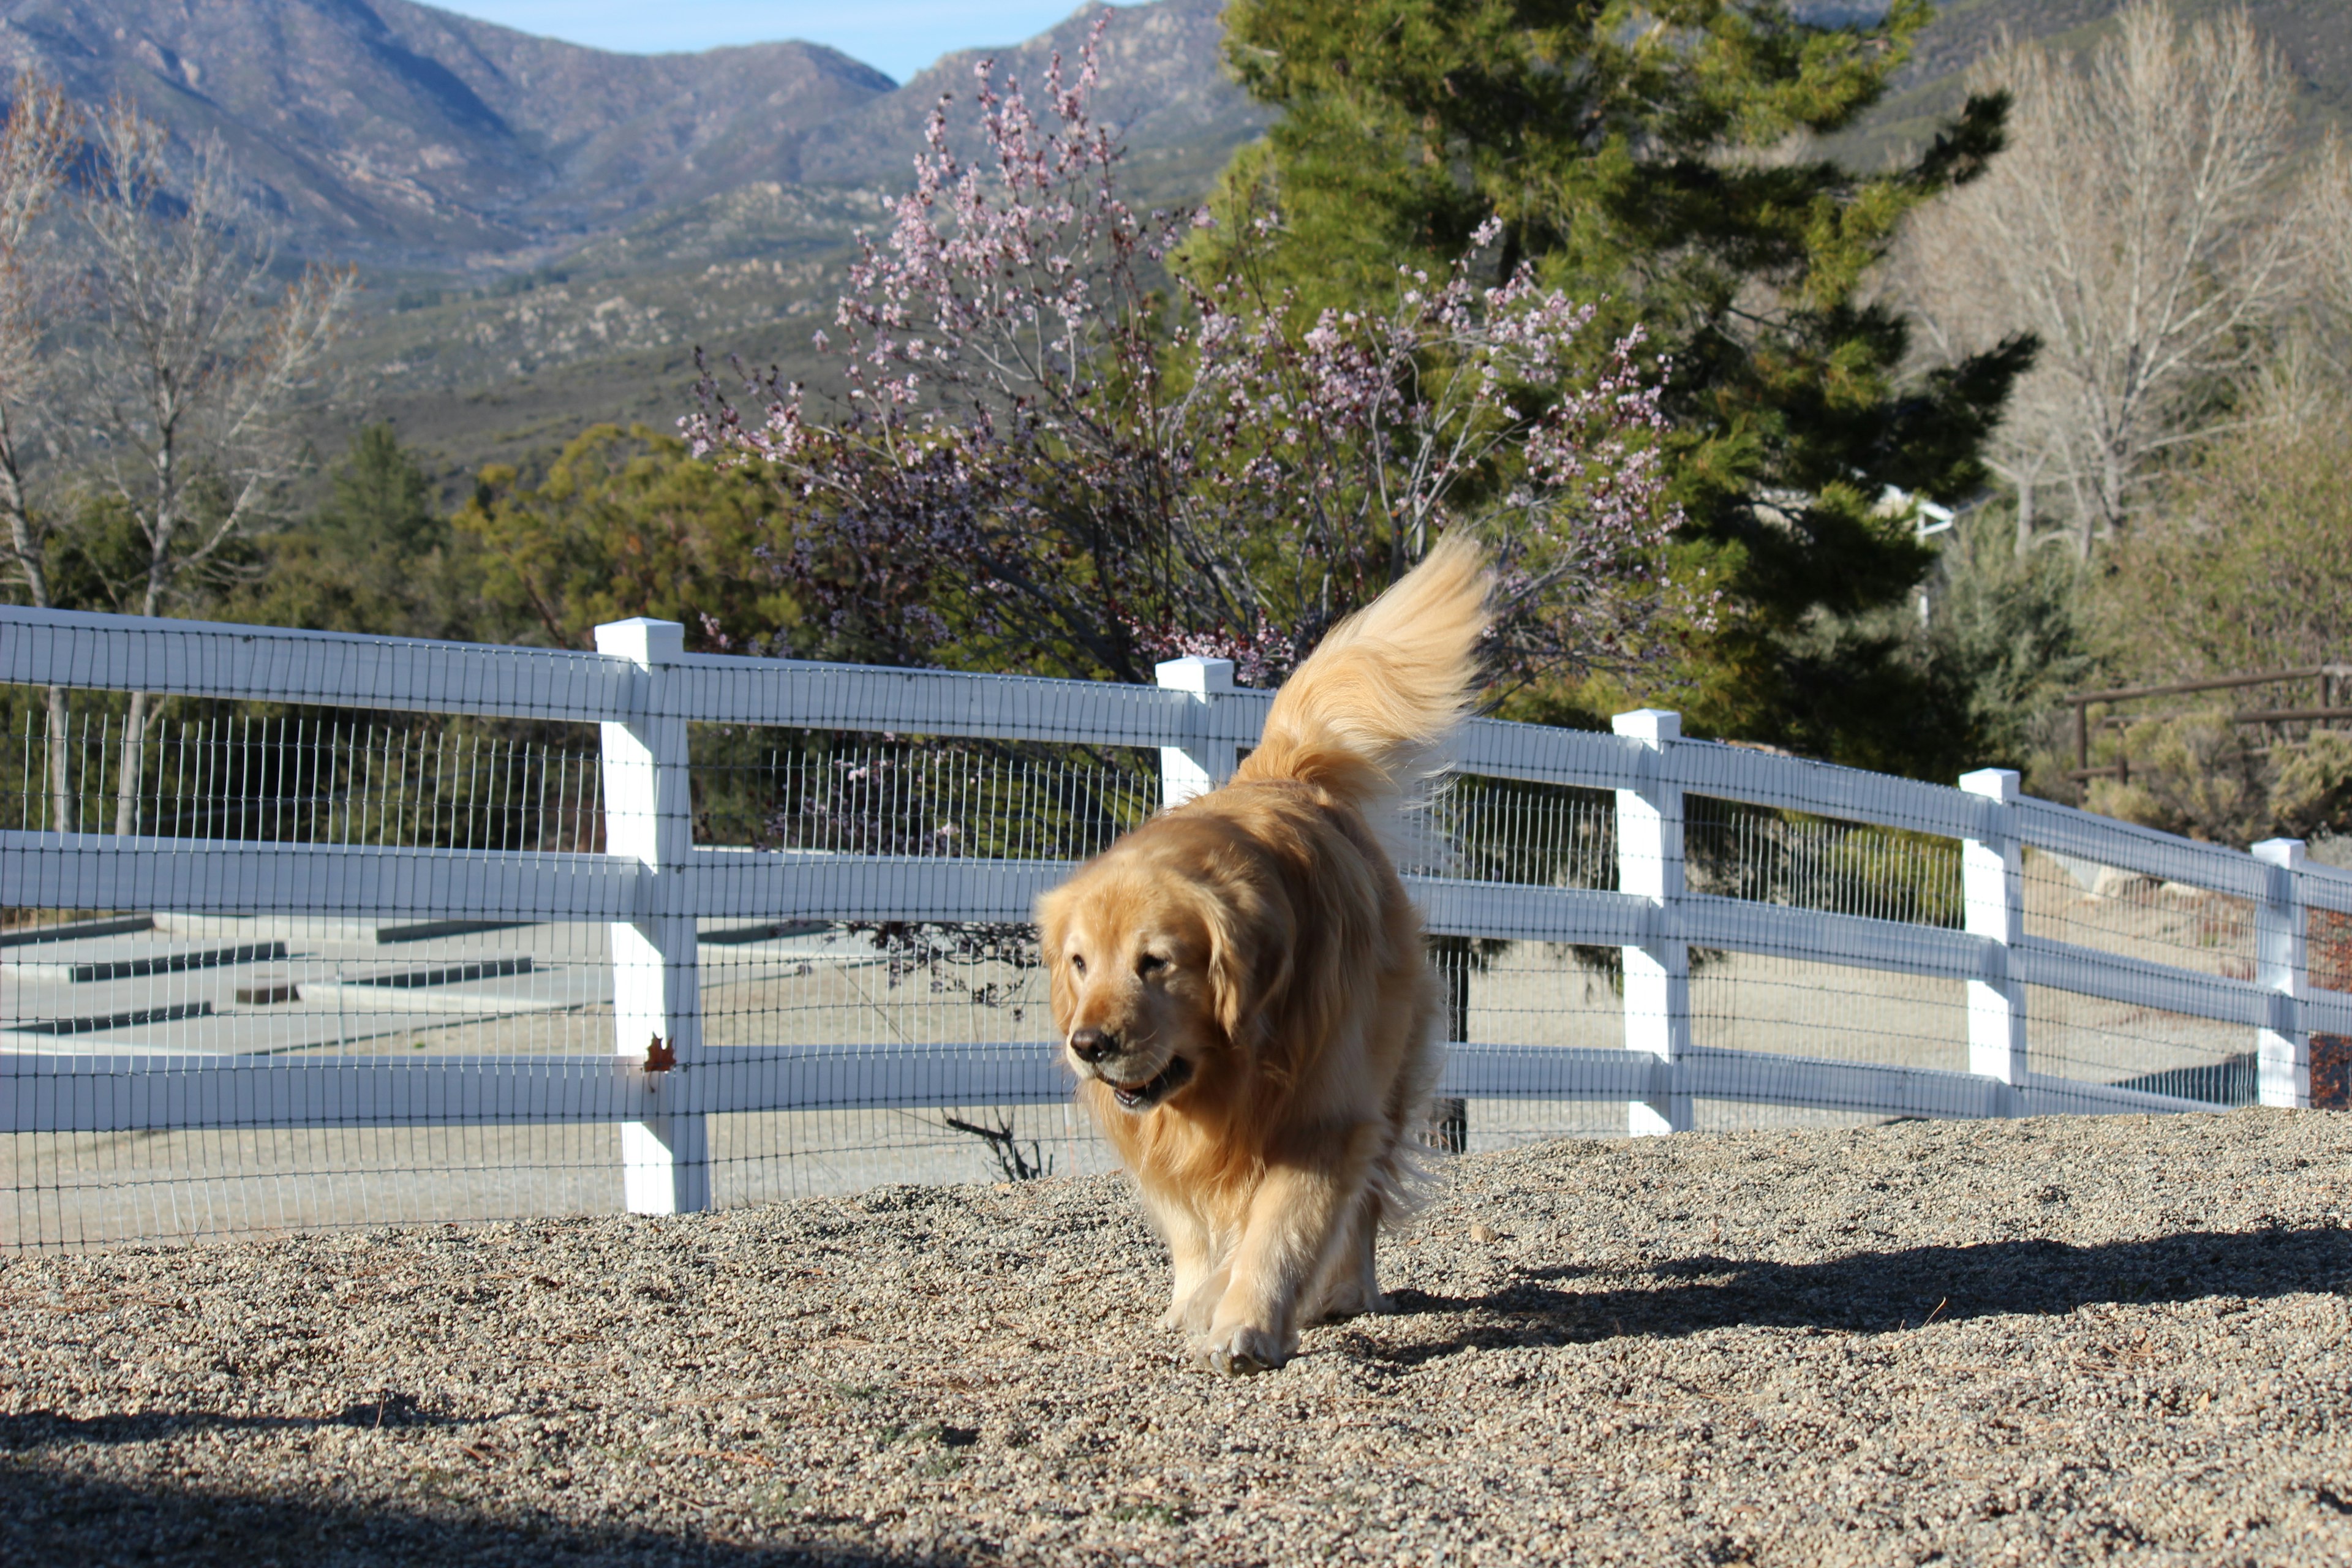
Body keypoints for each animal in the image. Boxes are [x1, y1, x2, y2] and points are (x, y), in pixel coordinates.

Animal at [1044, 536, 1496, 1373]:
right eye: (1080, 963)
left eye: (1157, 962)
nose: (1089, 1045)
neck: (1233, 1069)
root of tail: (1282, 771)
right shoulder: (1164, 1138)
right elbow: (1191, 1225)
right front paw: (1197, 1302)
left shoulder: (1323, 1115)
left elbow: (1284, 1227)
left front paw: (1247, 1323)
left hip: (1388, 1073)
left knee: (1364, 1203)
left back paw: (1346, 1291)